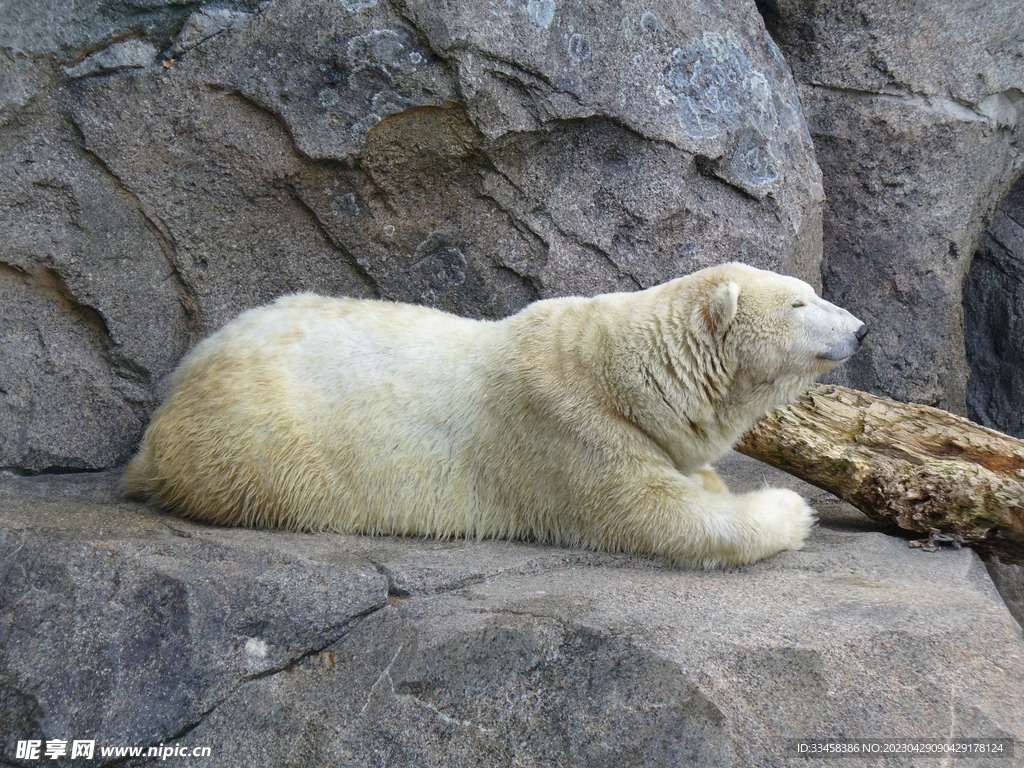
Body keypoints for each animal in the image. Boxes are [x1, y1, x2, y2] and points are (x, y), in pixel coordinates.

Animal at [123, 262, 866, 567]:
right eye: (799, 302)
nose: (861, 328)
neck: (612, 367)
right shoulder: (567, 432)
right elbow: (660, 516)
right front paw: (789, 510)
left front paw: (710, 476)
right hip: (257, 446)